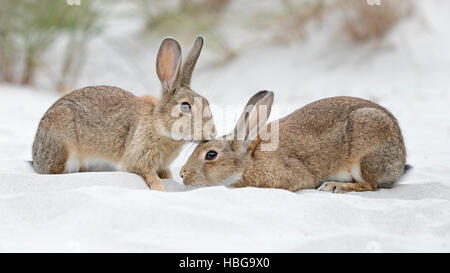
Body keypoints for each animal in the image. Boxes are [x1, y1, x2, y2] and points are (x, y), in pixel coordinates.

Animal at [32, 35, 216, 189]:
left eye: (207, 102)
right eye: (185, 106)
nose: (212, 133)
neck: (159, 125)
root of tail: (35, 156)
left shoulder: (162, 166)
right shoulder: (139, 160)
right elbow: (150, 177)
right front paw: (160, 190)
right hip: (63, 146)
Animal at [179, 90, 408, 192]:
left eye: (211, 155)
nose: (182, 174)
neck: (249, 162)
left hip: (365, 154)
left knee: (370, 185)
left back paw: (334, 186)